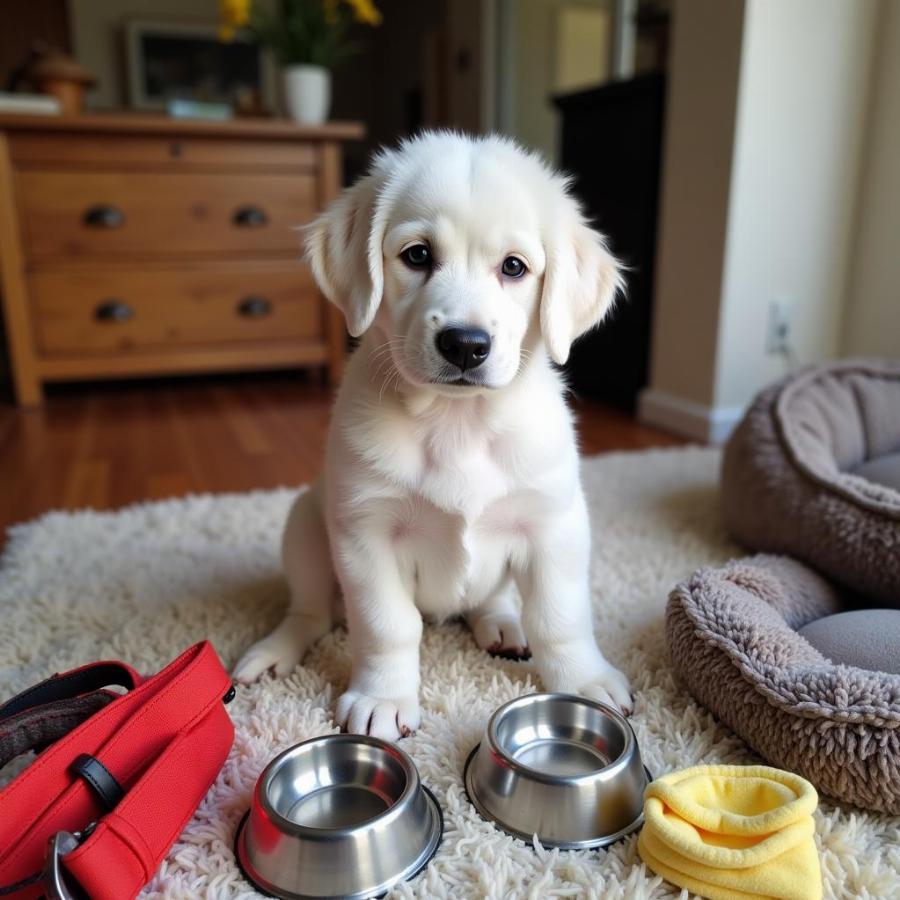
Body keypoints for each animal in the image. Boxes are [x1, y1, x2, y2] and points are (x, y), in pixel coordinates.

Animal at [237, 134, 632, 740]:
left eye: (514, 267)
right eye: (418, 255)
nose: (465, 345)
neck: (458, 422)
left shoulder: (553, 524)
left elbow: (560, 616)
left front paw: (583, 680)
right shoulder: (366, 533)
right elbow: (387, 625)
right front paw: (383, 696)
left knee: (492, 600)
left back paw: (502, 625)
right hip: (304, 525)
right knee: (310, 613)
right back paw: (274, 650)